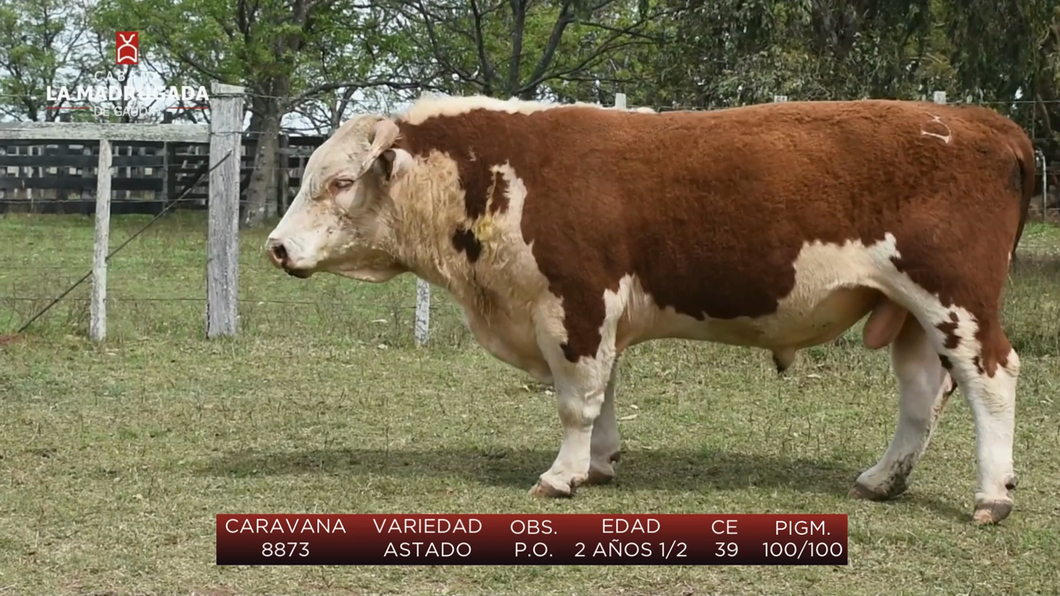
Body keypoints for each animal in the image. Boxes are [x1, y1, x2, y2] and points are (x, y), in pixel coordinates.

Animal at [265, 90, 1034, 521]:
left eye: (338, 182)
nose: (275, 246)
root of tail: (983, 123)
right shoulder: (594, 316)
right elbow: (603, 392)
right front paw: (601, 462)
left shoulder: (573, 303)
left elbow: (576, 399)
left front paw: (562, 475)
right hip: (907, 312)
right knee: (921, 395)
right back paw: (881, 480)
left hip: (956, 299)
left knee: (992, 378)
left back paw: (991, 496)